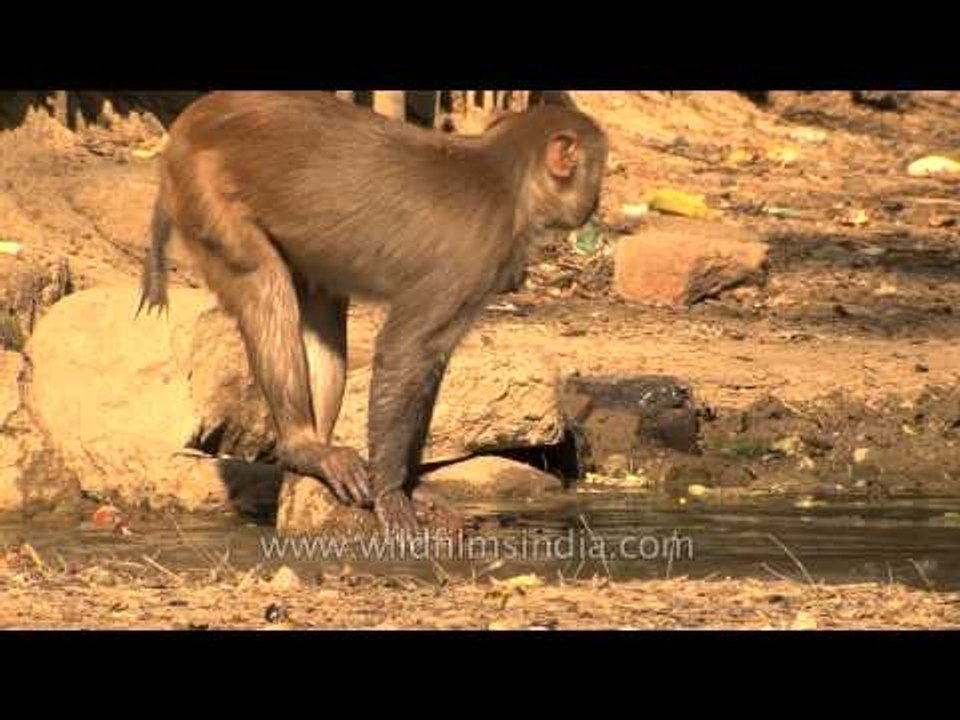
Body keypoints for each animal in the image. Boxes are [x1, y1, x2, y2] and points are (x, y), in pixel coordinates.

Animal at [138, 91, 608, 537]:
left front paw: (410, 482)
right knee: (264, 283)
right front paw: (390, 492)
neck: (508, 178)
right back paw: (303, 446)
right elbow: (407, 351)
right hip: (202, 187)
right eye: (596, 169)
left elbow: (429, 359)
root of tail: (193, 118)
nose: (595, 202)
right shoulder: (473, 256)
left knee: (321, 298)